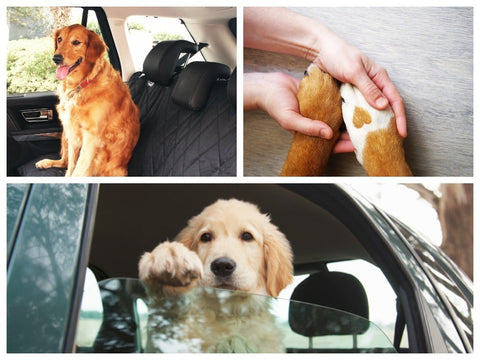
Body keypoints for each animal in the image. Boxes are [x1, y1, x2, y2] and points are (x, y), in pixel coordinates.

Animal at [34, 23, 140, 176]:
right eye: (59, 39)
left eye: (76, 42)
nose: (56, 58)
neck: (83, 84)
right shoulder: (72, 131)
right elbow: (71, 165)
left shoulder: (91, 138)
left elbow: (77, 170)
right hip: (65, 134)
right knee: (64, 161)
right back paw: (46, 162)